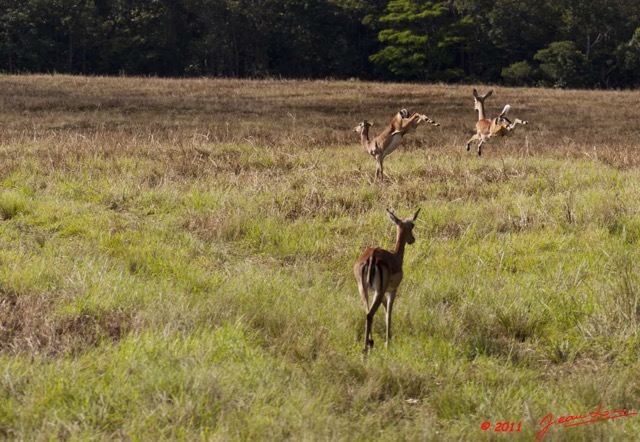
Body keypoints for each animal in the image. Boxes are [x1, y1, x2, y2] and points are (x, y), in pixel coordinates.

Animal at [356, 209, 420, 354]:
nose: (412, 239)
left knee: (367, 312)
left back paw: (370, 343)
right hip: (378, 292)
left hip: (364, 289)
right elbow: (388, 314)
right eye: (412, 225)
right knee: (370, 314)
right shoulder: (392, 290)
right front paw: (388, 342)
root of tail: (372, 257)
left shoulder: (381, 292)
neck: (396, 256)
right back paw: (366, 349)